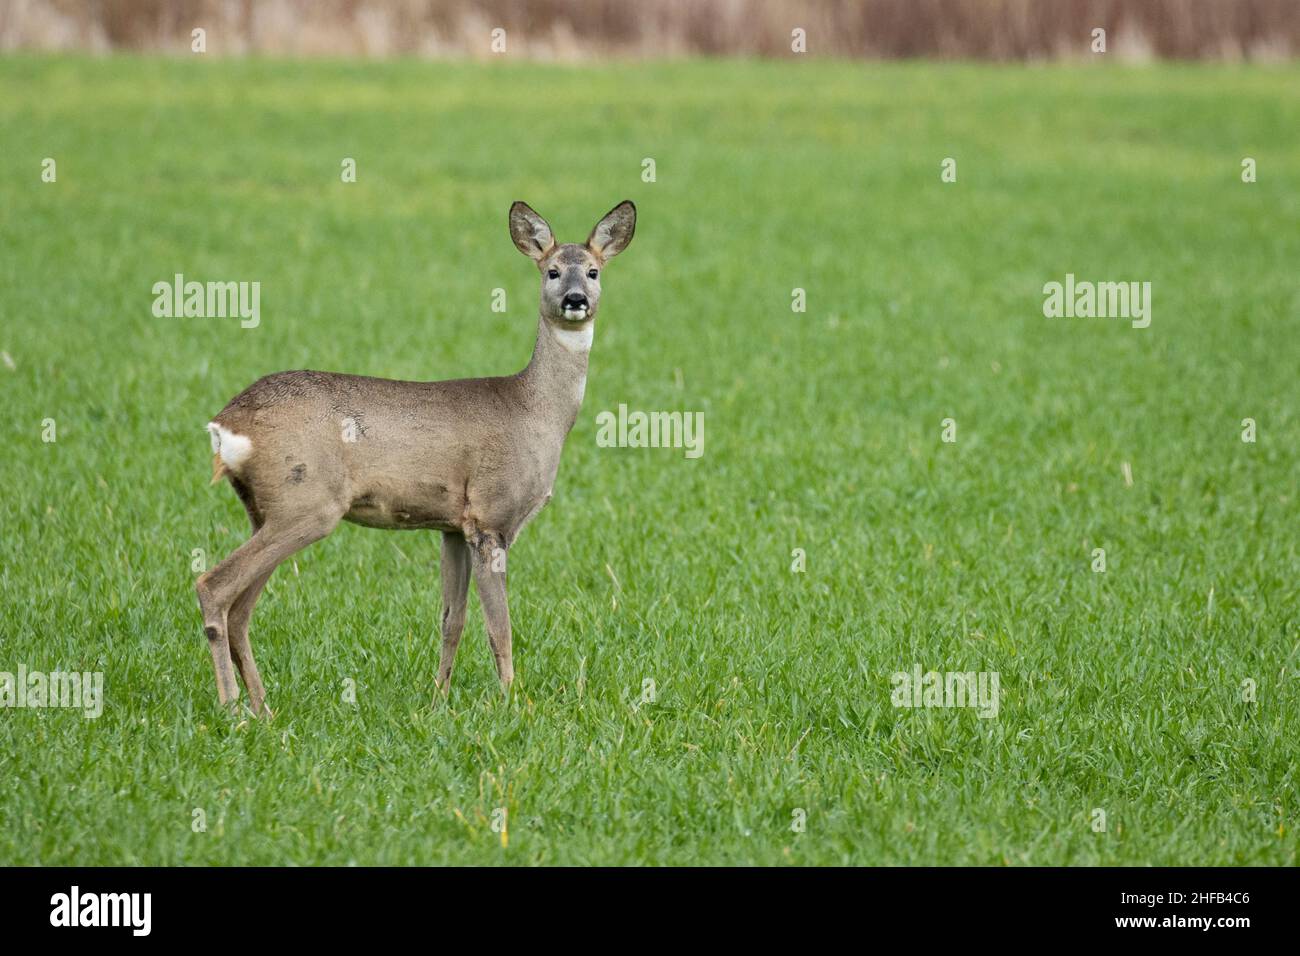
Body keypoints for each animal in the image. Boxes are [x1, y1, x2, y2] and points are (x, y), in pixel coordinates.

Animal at [196, 200, 636, 716]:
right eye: (551, 271)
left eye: (592, 270)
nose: (574, 299)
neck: (534, 411)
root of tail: (226, 426)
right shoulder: (491, 517)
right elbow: (500, 627)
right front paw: (511, 702)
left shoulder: (453, 525)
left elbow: (452, 619)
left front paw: (438, 699)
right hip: (307, 503)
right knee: (214, 586)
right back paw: (232, 709)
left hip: (266, 510)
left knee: (241, 606)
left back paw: (262, 708)